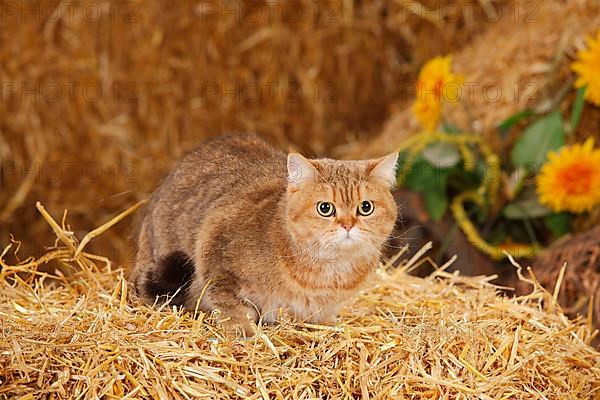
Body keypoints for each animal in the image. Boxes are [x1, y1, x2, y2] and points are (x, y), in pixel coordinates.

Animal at [129, 134, 398, 334]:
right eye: (325, 208)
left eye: (366, 207)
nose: (348, 225)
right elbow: (230, 307)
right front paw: (245, 333)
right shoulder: (214, 246)